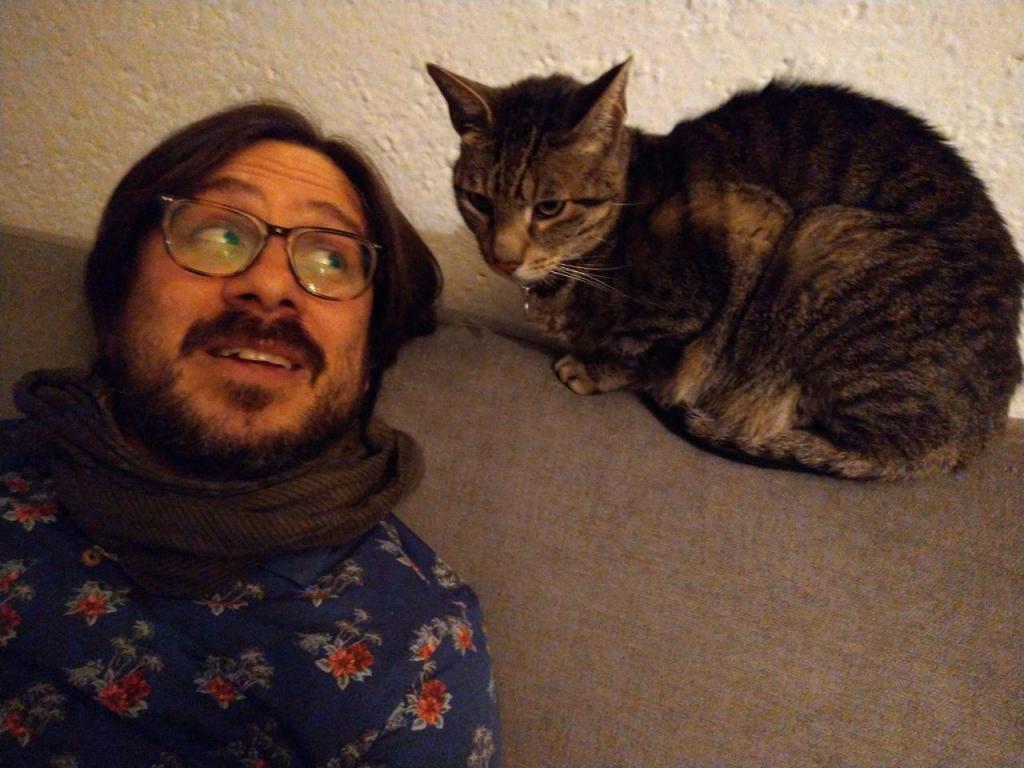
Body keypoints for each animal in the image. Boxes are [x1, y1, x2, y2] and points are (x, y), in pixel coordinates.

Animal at [427, 59, 1023, 480]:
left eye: (549, 208)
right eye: (478, 201)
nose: (502, 256)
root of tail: (983, 428)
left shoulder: (749, 229)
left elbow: (648, 352)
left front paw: (594, 368)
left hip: (825, 241)